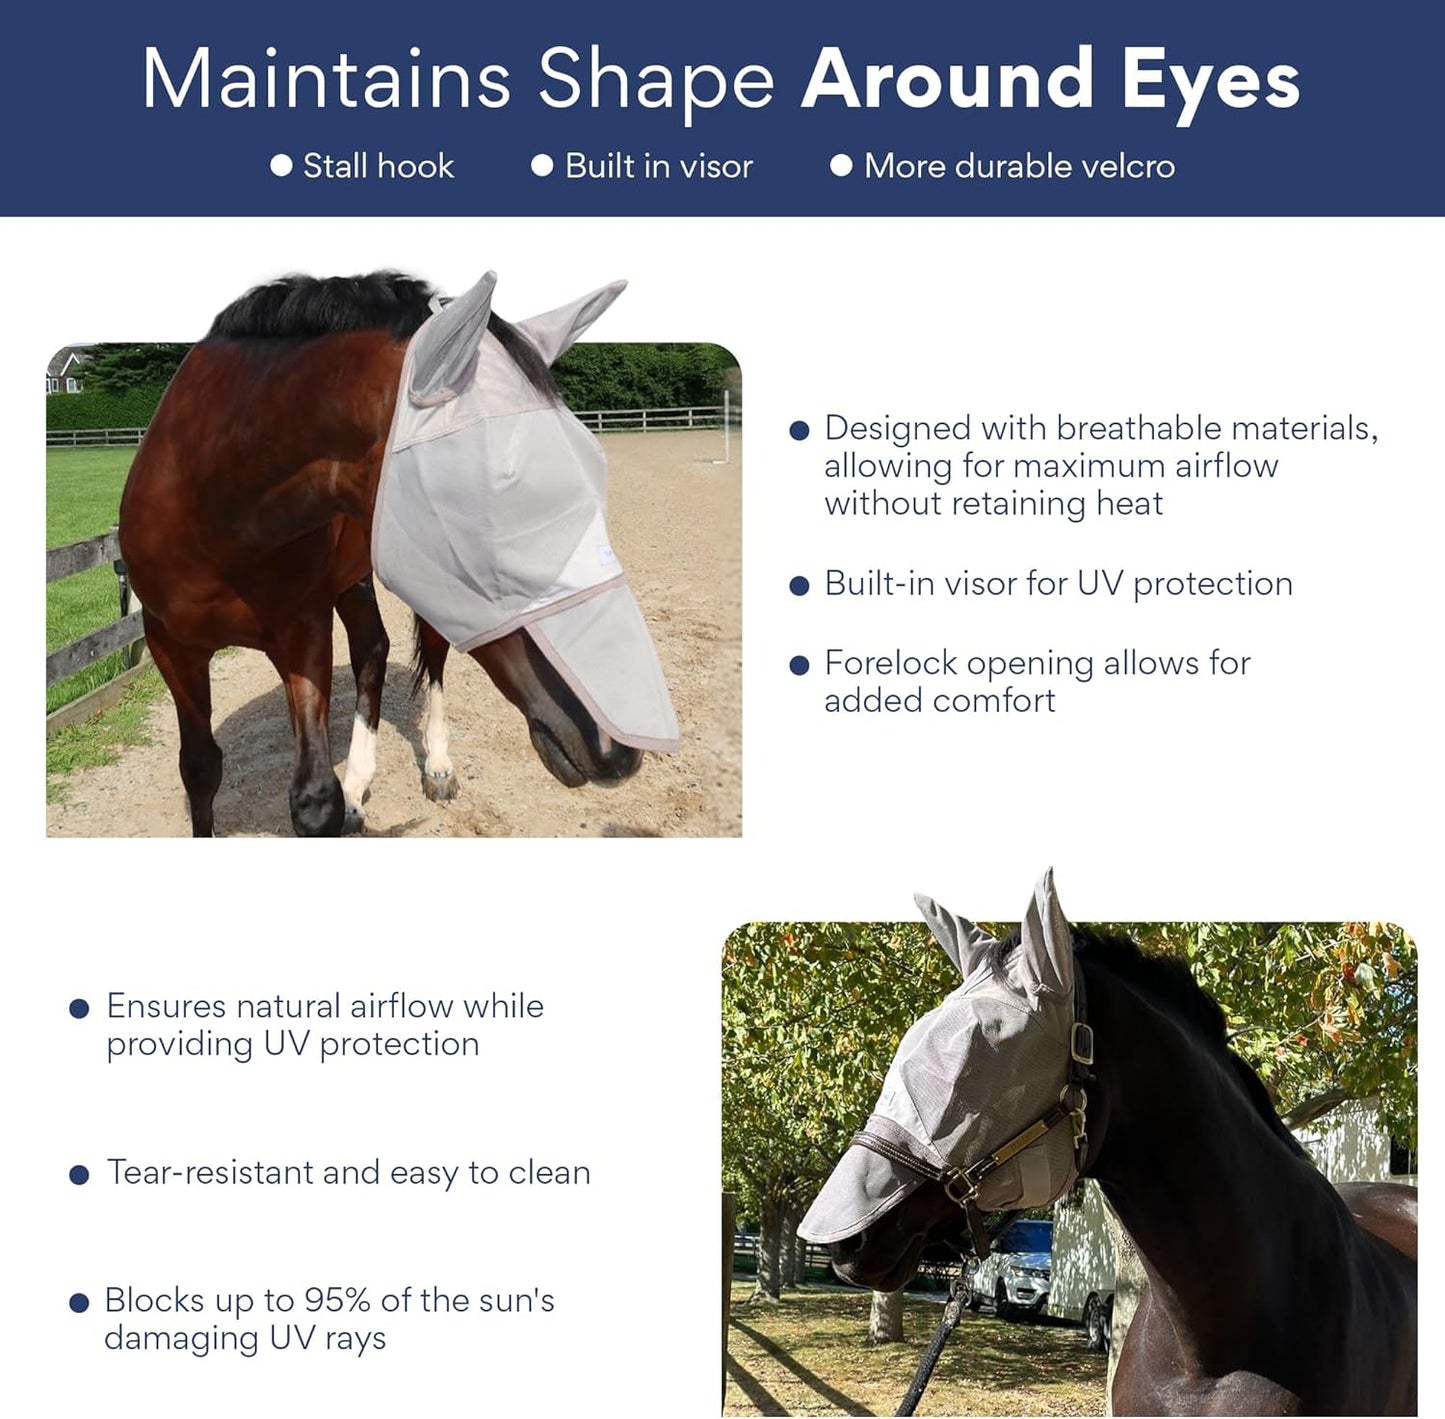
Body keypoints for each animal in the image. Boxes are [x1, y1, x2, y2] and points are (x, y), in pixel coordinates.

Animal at [119, 270, 678, 837]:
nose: (621, 744)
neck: (212, 505)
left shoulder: (303, 633)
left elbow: (314, 801)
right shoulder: (169, 644)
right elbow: (201, 768)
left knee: (427, 655)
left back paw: (435, 766)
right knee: (372, 651)